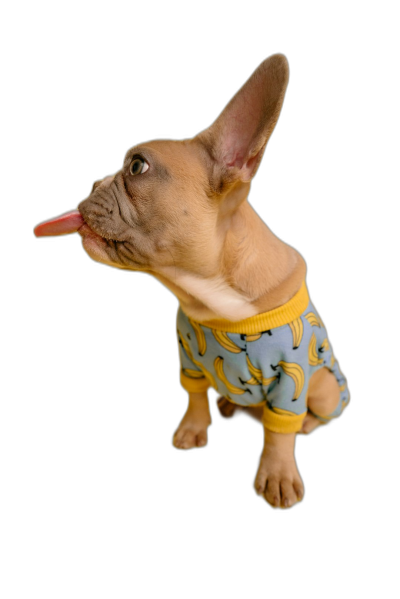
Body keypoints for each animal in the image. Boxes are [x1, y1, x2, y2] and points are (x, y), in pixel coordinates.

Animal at [34, 54, 348, 508]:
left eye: (137, 166)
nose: (94, 181)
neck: (210, 295)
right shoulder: (188, 356)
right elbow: (194, 395)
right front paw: (192, 429)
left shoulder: (292, 377)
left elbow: (278, 433)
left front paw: (277, 474)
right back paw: (232, 406)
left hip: (323, 386)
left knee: (307, 413)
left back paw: (301, 423)